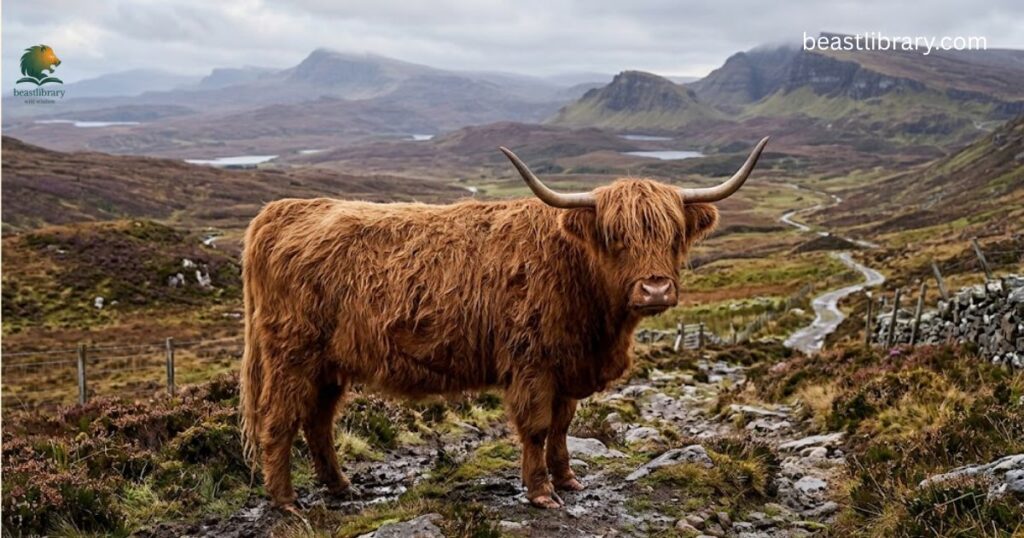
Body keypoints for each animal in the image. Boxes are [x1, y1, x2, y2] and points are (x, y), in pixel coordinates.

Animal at [239, 137, 769, 511]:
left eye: (674, 235)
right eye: (614, 236)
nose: (655, 289)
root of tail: (281, 211)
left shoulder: (567, 366)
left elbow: (562, 427)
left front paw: (568, 479)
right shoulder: (532, 363)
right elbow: (535, 427)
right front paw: (540, 492)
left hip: (328, 365)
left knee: (318, 421)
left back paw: (341, 487)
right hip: (292, 355)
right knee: (279, 421)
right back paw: (286, 502)